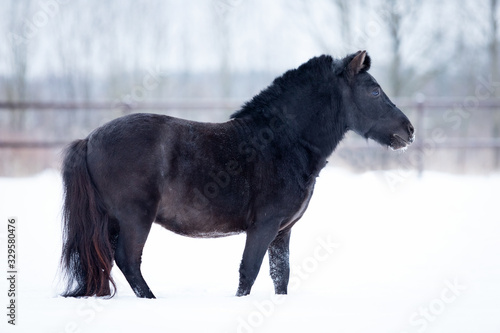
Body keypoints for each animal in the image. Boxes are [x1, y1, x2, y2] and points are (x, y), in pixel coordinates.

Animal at [61, 50, 414, 296]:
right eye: (374, 91)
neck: (282, 140)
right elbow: (249, 272)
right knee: (128, 261)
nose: (408, 131)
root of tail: (89, 139)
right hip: (135, 217)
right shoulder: (263, 225)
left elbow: (280, 276)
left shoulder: (282, 231)